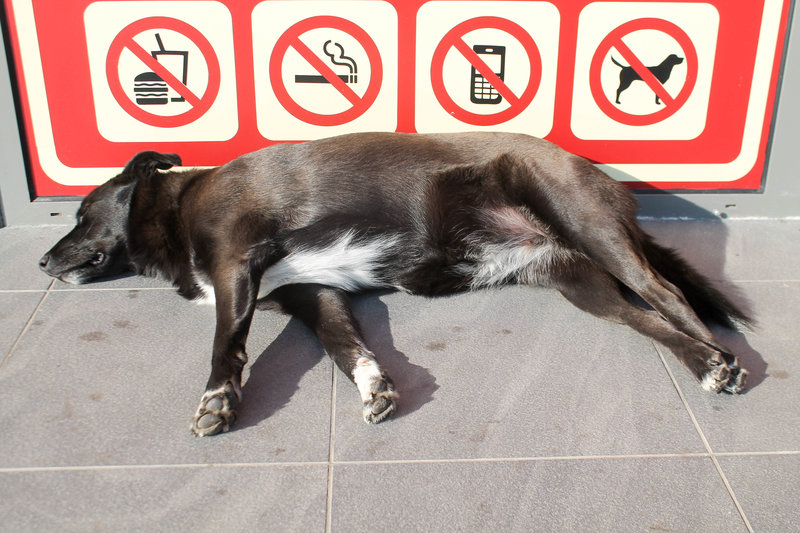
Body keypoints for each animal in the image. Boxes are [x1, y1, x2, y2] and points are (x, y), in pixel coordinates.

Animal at [39, 132, 749, 437]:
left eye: (81, 214)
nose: (42, 264)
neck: (182, 204)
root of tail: (599, 172)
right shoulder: (313, 295)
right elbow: (347, 348)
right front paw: (374, 387)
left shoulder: (237, 265)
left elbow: (225, 346)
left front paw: (217, 400)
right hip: (581, 284)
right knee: (647, 318)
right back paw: (701, 363)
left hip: (587, 224)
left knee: (670, 297)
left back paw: (723, 361)